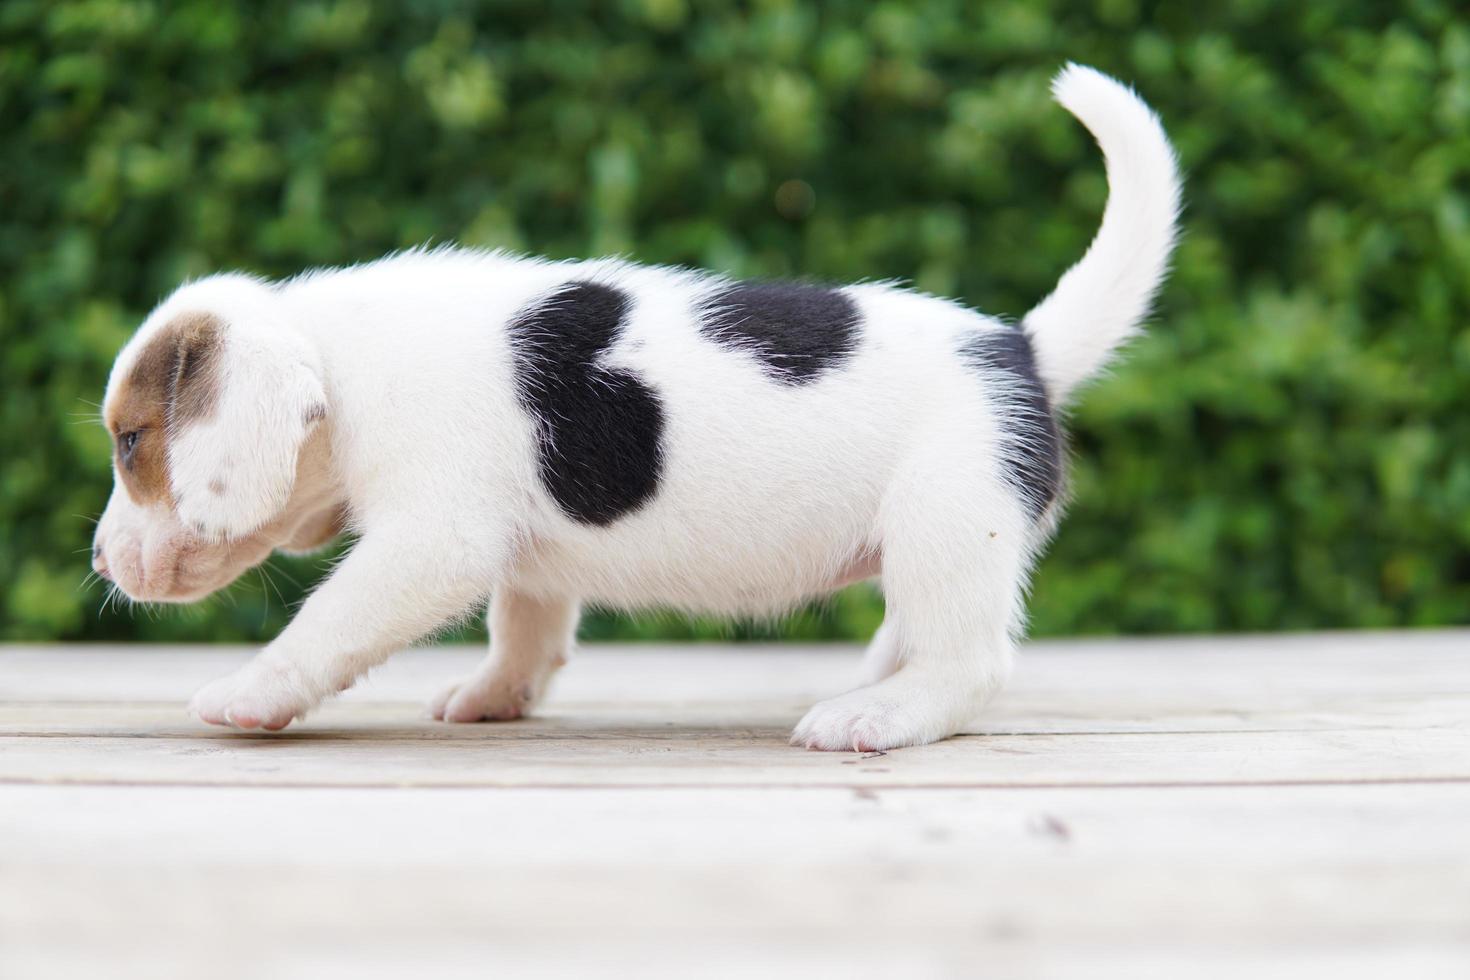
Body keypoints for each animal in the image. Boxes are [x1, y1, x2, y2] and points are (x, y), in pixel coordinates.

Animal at [91, 63, 1176, 752]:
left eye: (133, 441)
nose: (100, 562)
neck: (343, 361)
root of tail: (1021, 348)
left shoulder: (430, 542)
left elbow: (326, 621)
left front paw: (251, 692)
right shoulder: (519, 554)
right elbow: (524, 627)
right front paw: (497, 695)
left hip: (946, 523)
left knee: (971, 661)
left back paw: (878, 715)